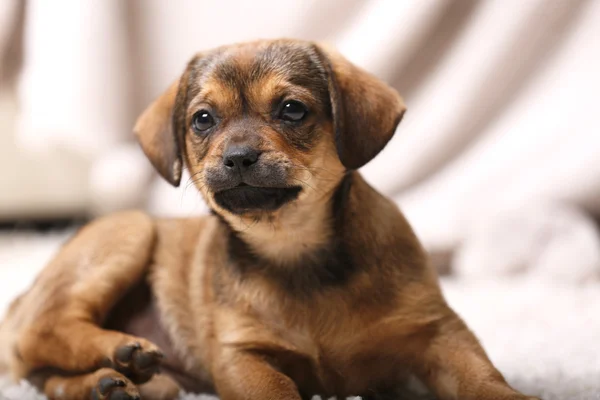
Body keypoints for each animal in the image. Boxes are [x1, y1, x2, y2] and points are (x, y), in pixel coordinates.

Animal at [0, 38, 540, 400]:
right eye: (202, 120)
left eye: (291, 109)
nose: (238, 157)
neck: (294, 249)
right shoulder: (243, 356)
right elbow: (276, 391)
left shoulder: (438, 332)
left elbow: (482, 376)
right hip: (127, 232)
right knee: (42, 332)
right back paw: (119, 351)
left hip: (160, 378)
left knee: (46, 374)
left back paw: (106, 381)